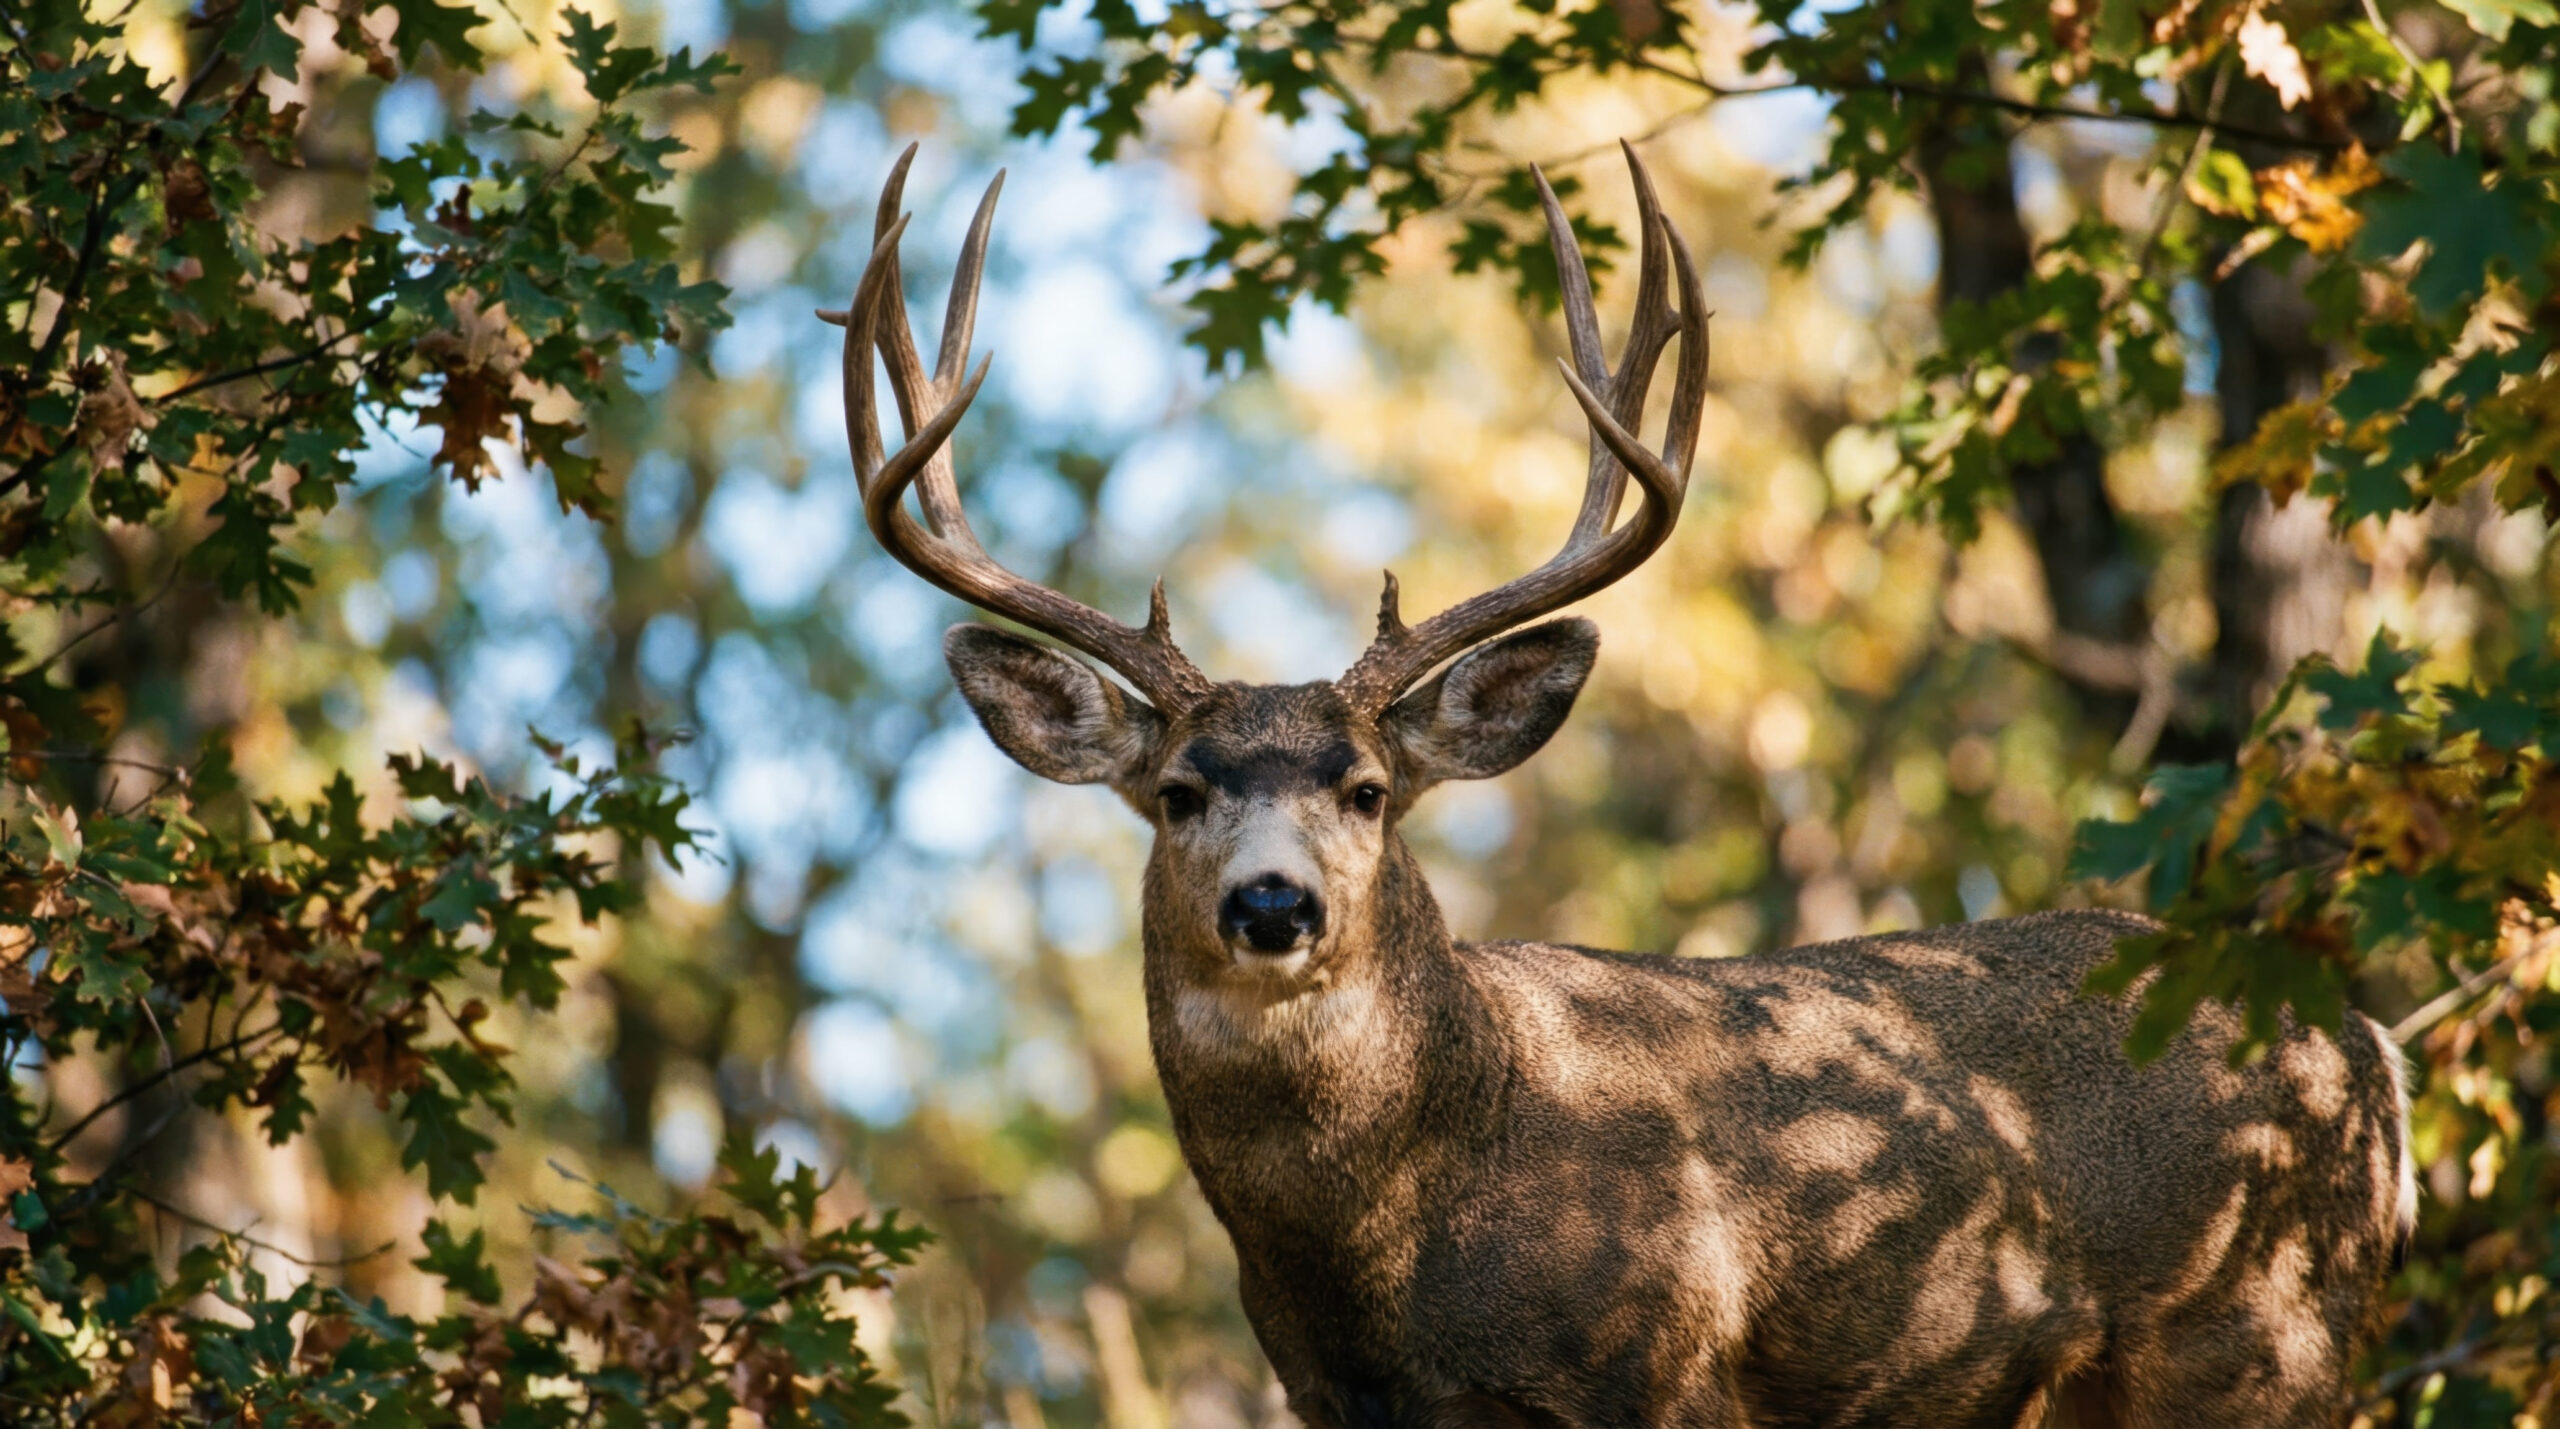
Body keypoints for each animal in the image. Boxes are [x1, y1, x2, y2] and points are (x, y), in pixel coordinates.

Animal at [821, 143, 2415, 1429]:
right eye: (1177, 790)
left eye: (1366, 787)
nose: (1273, 905)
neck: (1401, 1241)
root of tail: (2367, 1051)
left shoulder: (1669, 1369)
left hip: (2258, 1330)